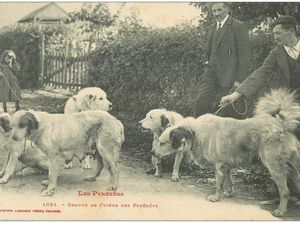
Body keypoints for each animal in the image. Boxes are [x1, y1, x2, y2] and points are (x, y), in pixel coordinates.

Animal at [156, 89, 300, 217]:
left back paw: (280, 211)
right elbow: (229, 181)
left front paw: (216, 197)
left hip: (275, 168)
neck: (195, 132)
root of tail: (281, 125)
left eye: (163, 143)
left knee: (285, 192)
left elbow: (219, 184)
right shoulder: (226, 166)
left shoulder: (218, 168)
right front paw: (229, 193)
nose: (152, 153)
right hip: (293, 169)